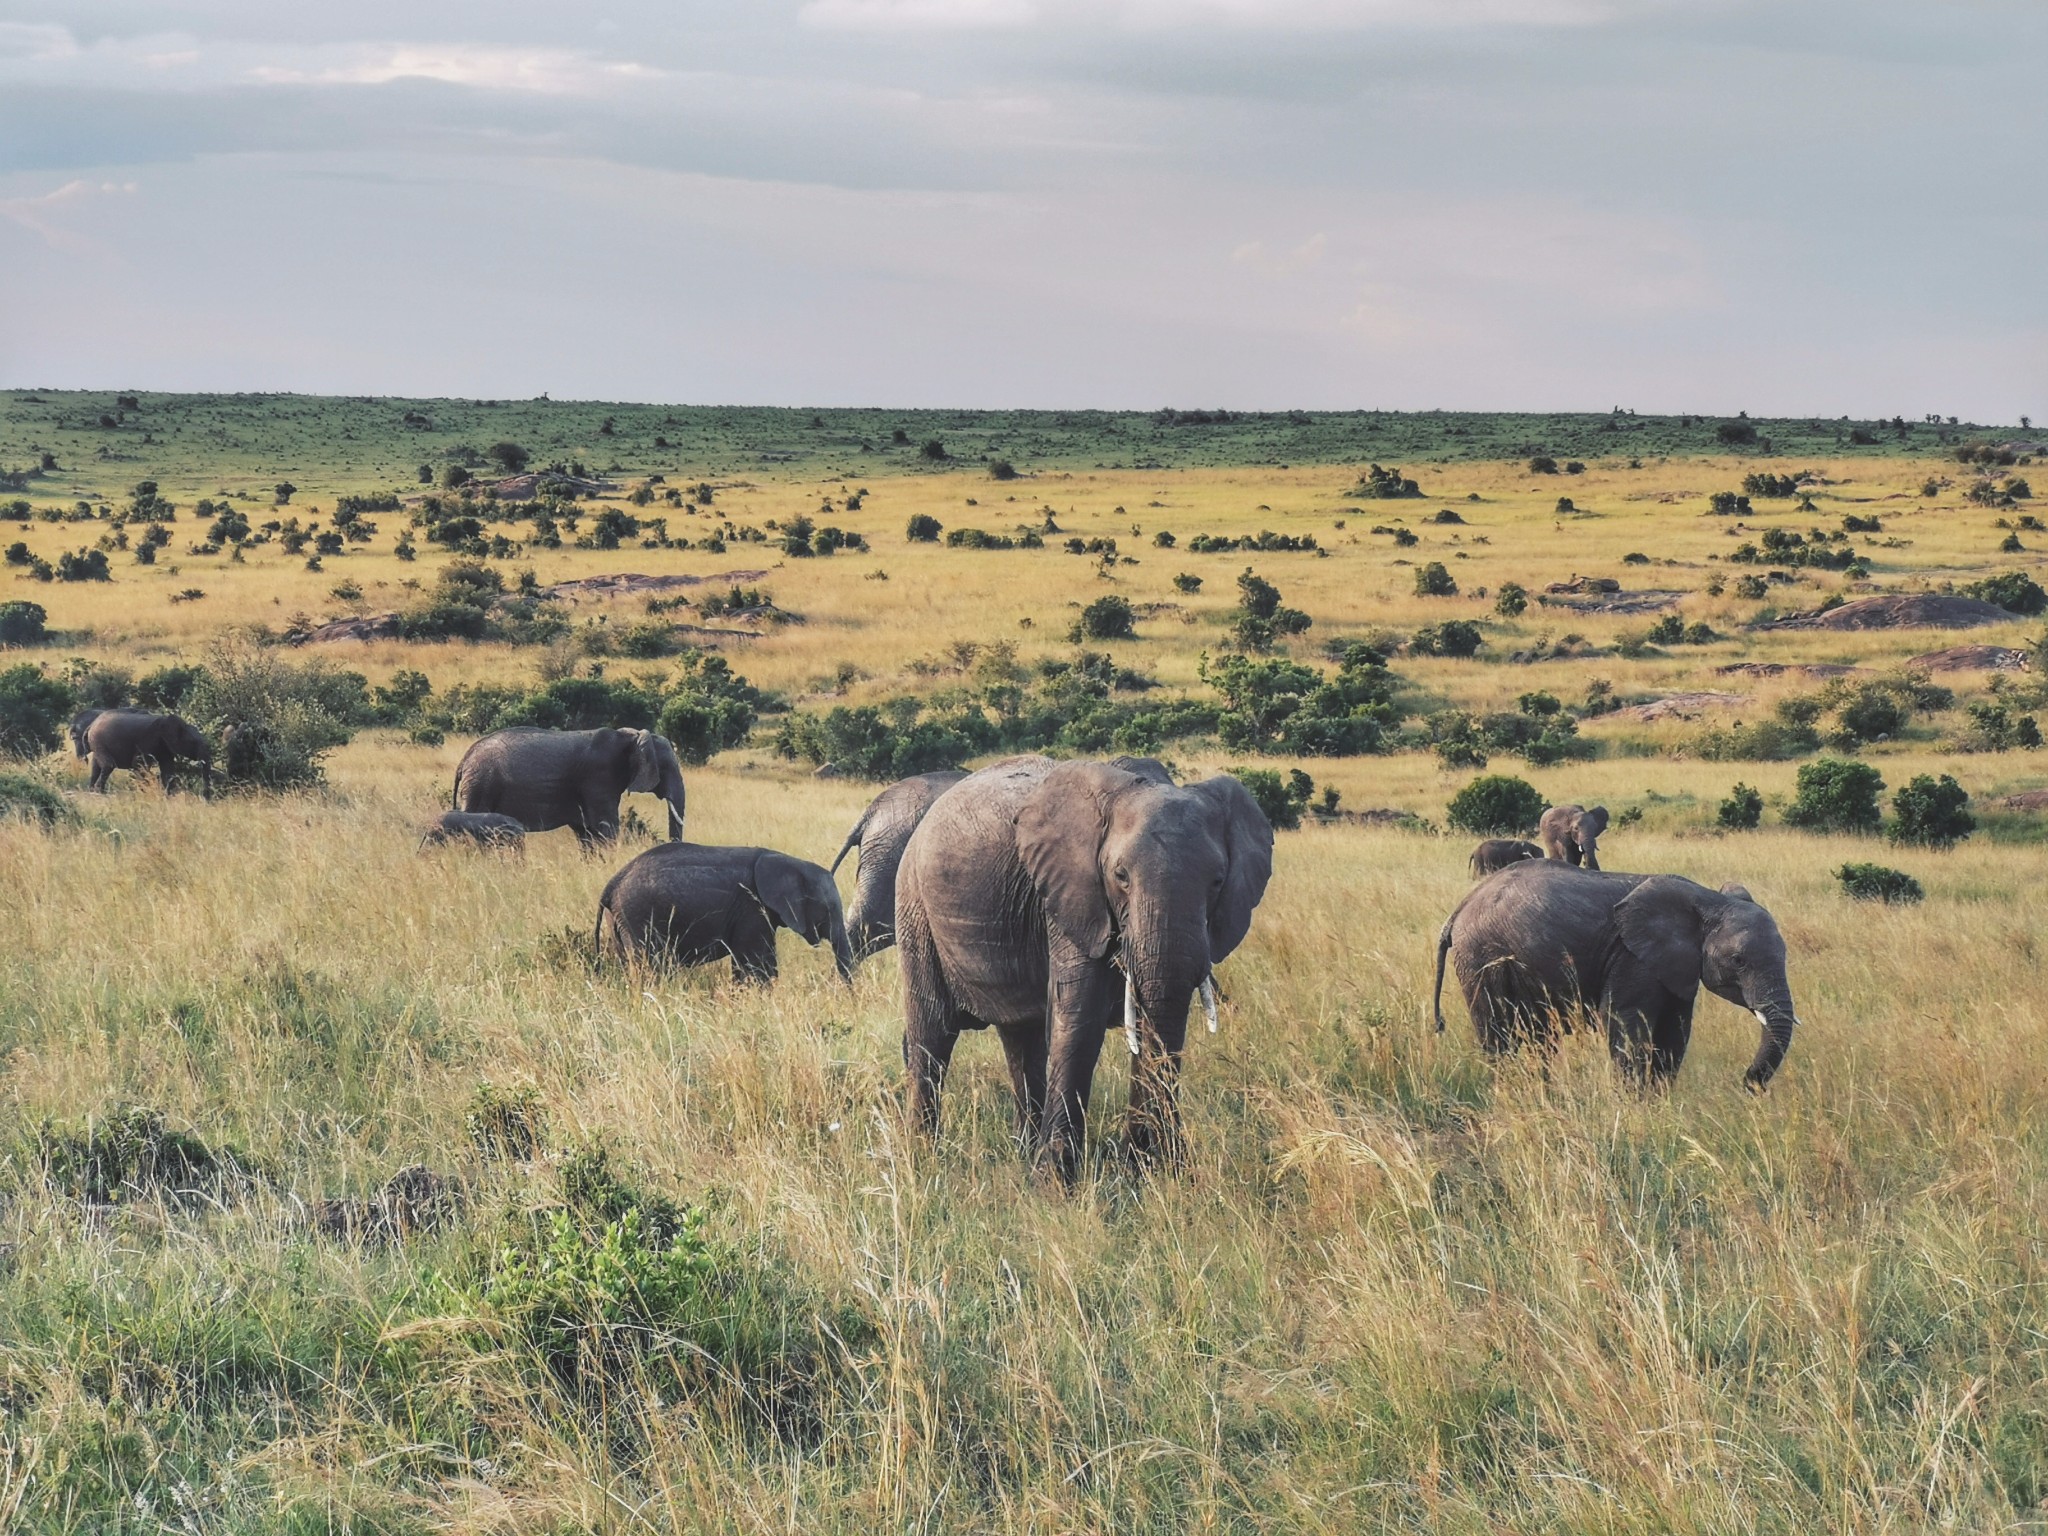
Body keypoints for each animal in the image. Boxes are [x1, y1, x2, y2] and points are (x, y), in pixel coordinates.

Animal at [74, 716, 216, 798]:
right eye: (193, 742)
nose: (205, 798)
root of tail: (90, 725)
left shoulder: (164, 745)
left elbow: (168, 768)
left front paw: (169, 795)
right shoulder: (148, 740)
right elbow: (138, 764)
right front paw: (147, 791)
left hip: (97, 743)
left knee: (96, 766)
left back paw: (92, 790)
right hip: (100, 741)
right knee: (108, 765)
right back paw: (100, 792)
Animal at [452, 729, 684, 847]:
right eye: (667, 767)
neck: (631, 737)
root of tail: (464, 759)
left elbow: (586, 831)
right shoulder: (599, 778)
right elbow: (605, 828)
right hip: (481, 786)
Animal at [598, 843, 851, 987]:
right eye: (828, 910)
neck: (789, 862)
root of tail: (612, 883)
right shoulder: (751, 908)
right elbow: (759, 963)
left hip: (620, 920)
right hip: (637, 918)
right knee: (649, 967)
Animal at [892, 753, 1261, 1187]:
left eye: (1217, 881)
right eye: (1120, 877)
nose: (1162, 1161)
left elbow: (1154, 1025)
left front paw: (1150, 1174)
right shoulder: (1070, 898)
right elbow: (1080, 1021)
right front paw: (1056, 1186)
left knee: (1021, 1040)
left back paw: (1023, 1151)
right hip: (914, 904)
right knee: (932, 1034)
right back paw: (921, 1159)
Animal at [1433, 868, 1802, 1097]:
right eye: (1739, 961)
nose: (1748, 1083)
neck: (1708, 900)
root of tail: (1459, 909)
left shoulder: (1675, 965)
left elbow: (1675, 1031)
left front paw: (1658, 1103)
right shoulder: (1632, 957)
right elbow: (1626, 1024)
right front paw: (1633, 1104)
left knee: (1539, 1038)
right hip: (1480, 959)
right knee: (1498, 1035)